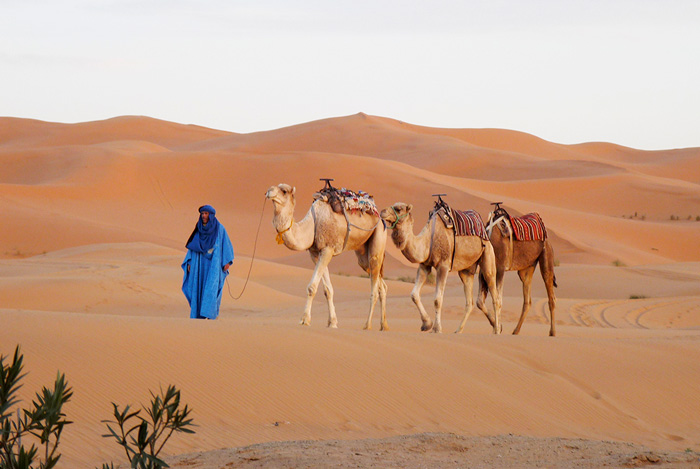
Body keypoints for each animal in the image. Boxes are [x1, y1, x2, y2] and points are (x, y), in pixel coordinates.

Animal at [266, 183, 388, 330]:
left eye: (284, 191)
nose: (269, 191)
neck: (312, 225)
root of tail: (380, 217)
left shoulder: (328, 249)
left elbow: (312, 287)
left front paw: (304, 320)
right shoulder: (315, 253)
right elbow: (327, 290)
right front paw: (332, 322)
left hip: (379, 235)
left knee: (374, 285)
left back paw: (367, 325)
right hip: (363, 253)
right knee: (381, 284)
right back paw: (384, 326)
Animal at [380, 201, 500, 332]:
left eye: (398, 209)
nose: (382, 212)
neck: (428, 241)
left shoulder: (443, 266)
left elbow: (437, 299)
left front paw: (437, 328)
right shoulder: (424, 265)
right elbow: (414, 295)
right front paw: (427, 324)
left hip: (488, 254)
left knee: (495, 296)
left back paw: (497, 329)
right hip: (466, 271)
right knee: (470, 302)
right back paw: (459, 331)